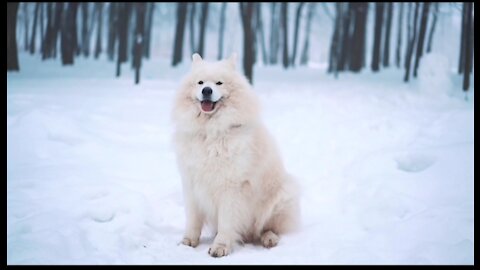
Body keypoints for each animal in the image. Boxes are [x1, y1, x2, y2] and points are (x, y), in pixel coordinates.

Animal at [172, 53, 300, 258]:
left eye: (219, 83)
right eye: (200, 83)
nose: (206, 90)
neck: (211, 132)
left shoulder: (231, 188)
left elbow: (226, 223)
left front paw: (220, 247)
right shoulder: (191, 184)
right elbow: (193, 219)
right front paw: (188, 242)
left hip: (282, 196)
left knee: (268, 228)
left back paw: (269, 238)